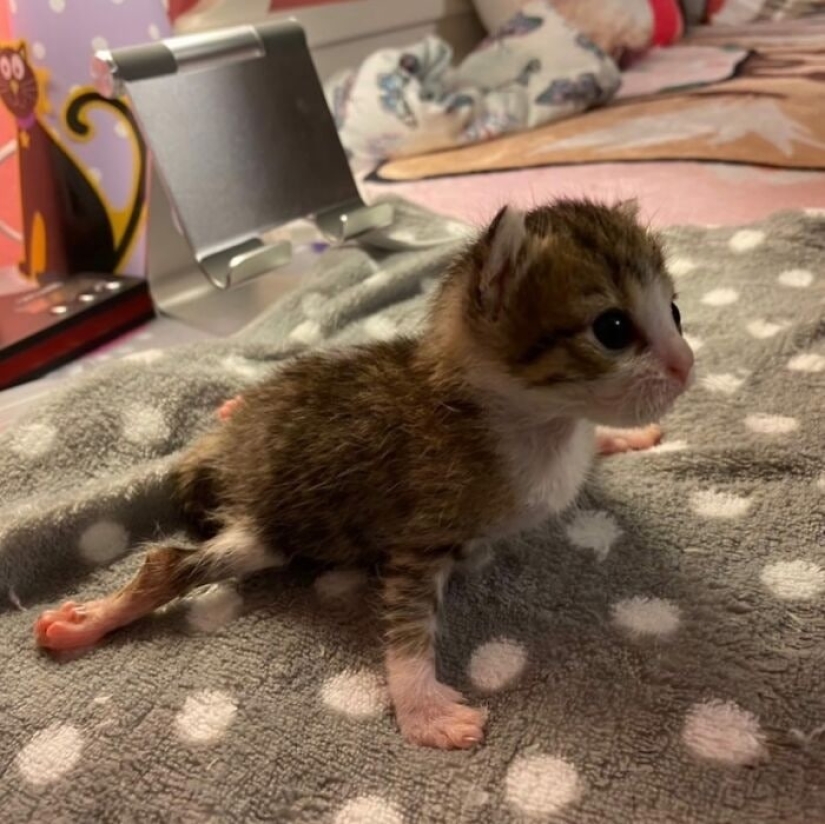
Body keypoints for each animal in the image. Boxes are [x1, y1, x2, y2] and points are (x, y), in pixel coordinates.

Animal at [32, 198, 692, 748]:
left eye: (676, 311)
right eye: (612, 329)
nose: (687, 366)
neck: (530, 419)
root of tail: (230, 454)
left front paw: (626, 436)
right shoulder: (421, 533)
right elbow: (408, 625)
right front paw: (423, 709)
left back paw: (229, 405)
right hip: (275, 528)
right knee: (168, 563)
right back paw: (93, 621)